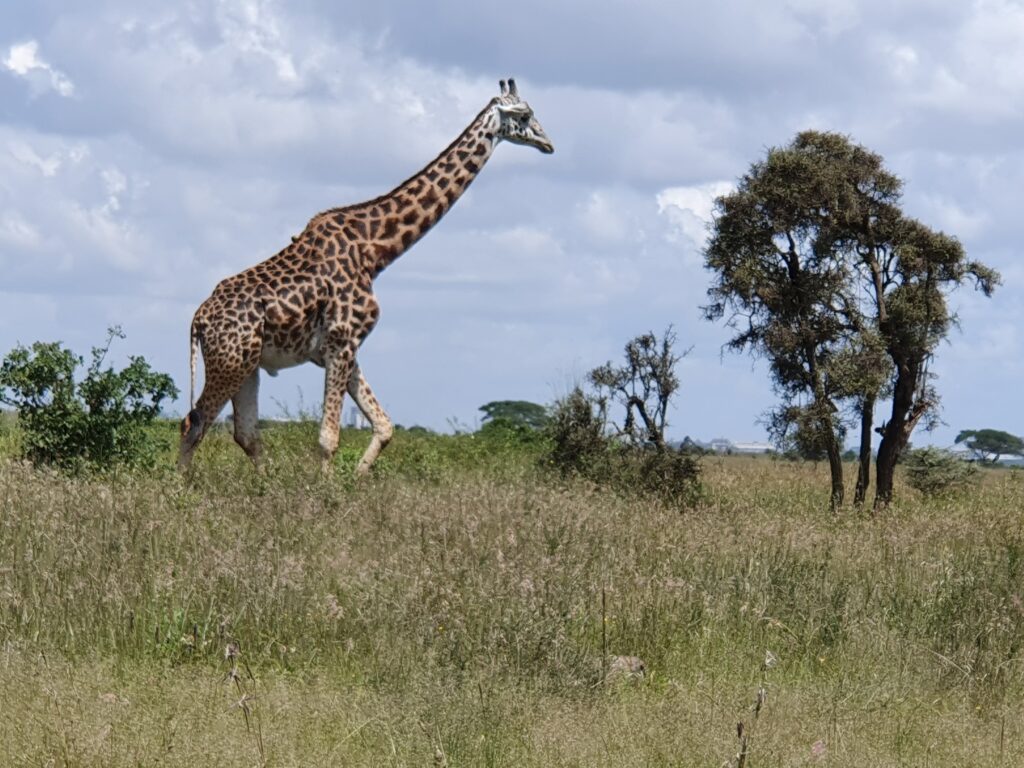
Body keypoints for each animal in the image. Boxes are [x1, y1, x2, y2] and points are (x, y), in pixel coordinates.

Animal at [178, 78, 553, 475]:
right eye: (525, 115)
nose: (548, 143)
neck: (374, 251)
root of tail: (198, 320)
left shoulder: (343, 348)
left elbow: (384, 426)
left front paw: (357, 478)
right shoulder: (342, 340)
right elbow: (328, 437)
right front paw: (325, 489)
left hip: (248, 364)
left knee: (245, 434)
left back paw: (263, 485)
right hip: (229, 362)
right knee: (193, 423)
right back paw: (185, 488)